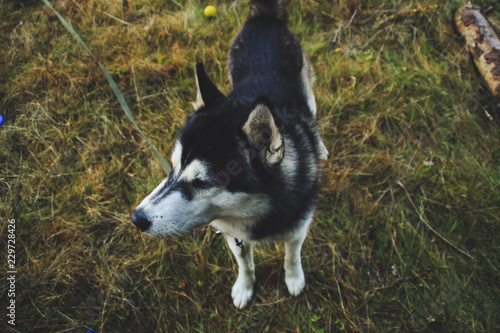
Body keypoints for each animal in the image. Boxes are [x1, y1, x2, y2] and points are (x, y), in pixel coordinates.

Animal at [132, 0, 328, 308]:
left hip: (307, 88)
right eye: (172, 167)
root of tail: (265, 18)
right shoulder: (234, 236)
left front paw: (294, 279)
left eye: (202, 183)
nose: (136, 218)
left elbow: (291, 255)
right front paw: (244, 287)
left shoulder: (298, 229)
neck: (258, 209)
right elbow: (244, 263)